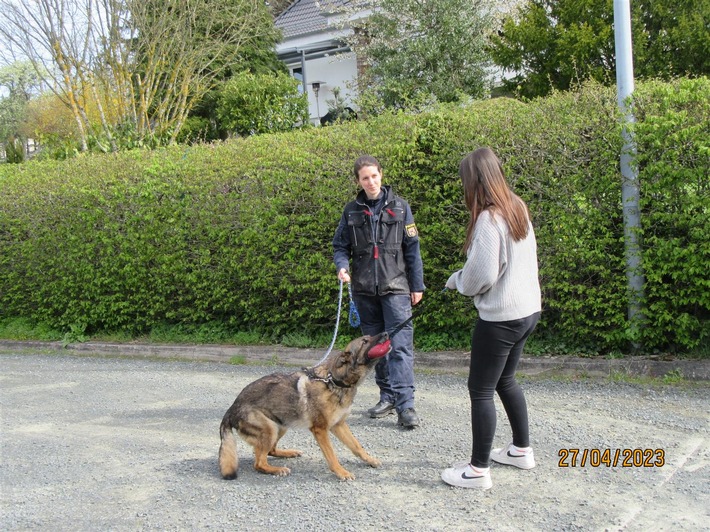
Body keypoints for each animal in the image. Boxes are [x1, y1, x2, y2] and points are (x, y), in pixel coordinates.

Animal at [220, 330, 392, 480]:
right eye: (365, 341)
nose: (386, 333)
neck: (334, 381)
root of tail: (231, 409)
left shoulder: (339, 425)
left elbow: (356, 446)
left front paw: (369, 459)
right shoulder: (320, 430)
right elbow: (332, 455)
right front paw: (341, 472)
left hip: (281, 425)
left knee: (271, 451)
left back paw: (289, 453)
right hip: (270, 429)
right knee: (259, 463)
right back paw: (277, 469)